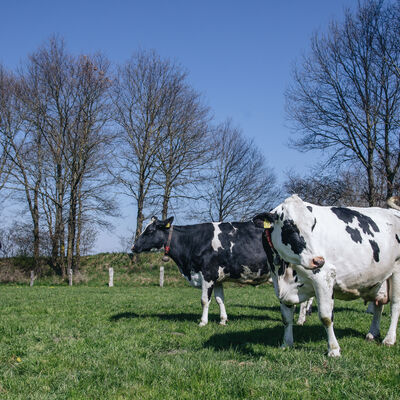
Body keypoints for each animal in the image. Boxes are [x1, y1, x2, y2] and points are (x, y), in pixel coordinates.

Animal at [253, 194, 400, 356]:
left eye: (312, 226)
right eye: (290, 228)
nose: (319, 260)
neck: (283, 271)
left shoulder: (324, 277)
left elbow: (326, 317)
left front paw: (333, 349)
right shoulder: (281, 287)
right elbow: (286, 318)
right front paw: (286, 344)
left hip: (397, 272)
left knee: (395, 305)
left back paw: (389, 339)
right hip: (379, 279)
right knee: (378, 304)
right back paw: (373, 333)